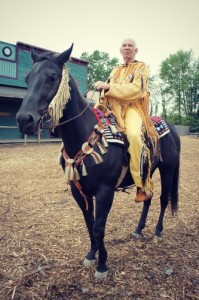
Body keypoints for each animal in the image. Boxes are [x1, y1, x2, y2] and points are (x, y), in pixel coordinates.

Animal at [15, 44, 180, 278]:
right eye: (27, 77)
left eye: (52, 77)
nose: (24, 120)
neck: (86, 134)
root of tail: (171, 128)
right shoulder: (78, 191)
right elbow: (89, 223)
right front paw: (92, 255)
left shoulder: (105, 192)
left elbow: (99, 227)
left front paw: (102, 265)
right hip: (148, 173)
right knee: (147, 198)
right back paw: (138, 229)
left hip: (167, 171)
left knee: (163, 199)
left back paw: (157, 233)